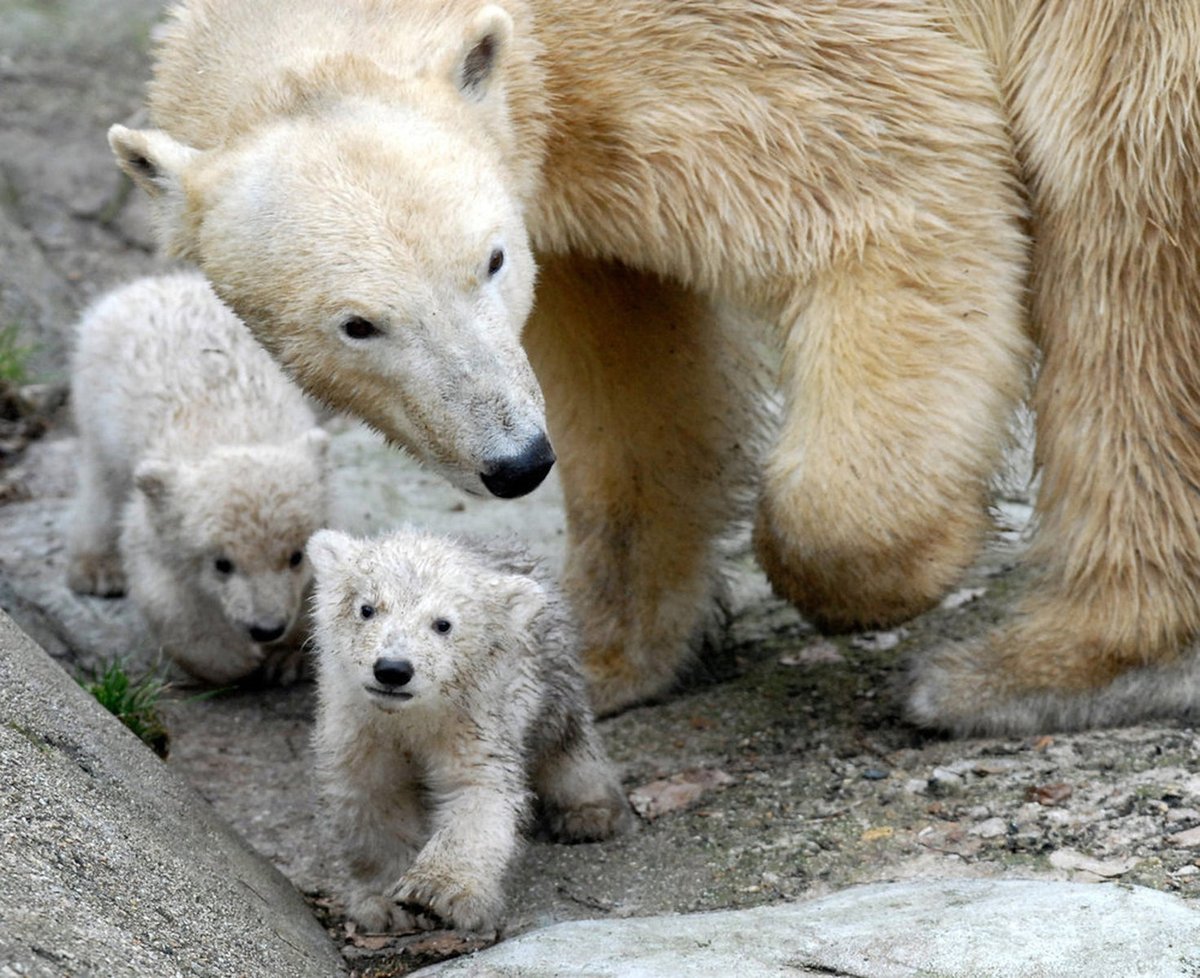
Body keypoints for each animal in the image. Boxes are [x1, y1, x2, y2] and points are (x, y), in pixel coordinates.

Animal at [67, 271, 331, 686]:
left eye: (295, 556)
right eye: (222, 563)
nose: (267, 628)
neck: (235, 432)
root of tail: (165, 280)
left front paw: (287, 657)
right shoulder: (157, 504)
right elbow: (168, 596)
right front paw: (232, 659)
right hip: (95, 393)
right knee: (102, 481)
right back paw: (97, 570)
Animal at [110, 1, 1200, 734]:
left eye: (486, 262)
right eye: (358, 325)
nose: (516, 462)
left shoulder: (741, 49)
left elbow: (894, 201)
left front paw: (880, 574)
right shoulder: (560, 174)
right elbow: (631, 377)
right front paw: (595, 653)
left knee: (1129, 227)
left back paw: (1037, 671)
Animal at [307, 528, 628, 931]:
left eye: (443, 623)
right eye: (367, 608)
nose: (393, 669)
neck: (408, 717)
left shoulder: (472, 721)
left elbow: (476, 793)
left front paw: (438, 892)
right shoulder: (359, 729)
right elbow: (374, 800)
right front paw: (383, 904)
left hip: (552, 675)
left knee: (564, 742)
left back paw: (589, 813)